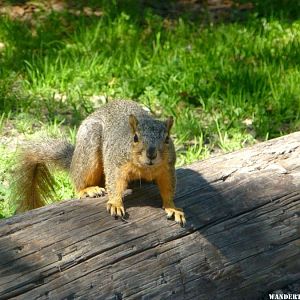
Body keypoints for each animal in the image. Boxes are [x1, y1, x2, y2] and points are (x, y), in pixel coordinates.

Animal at [14, 100, 188, 225]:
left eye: (167, 139)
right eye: (135, 138)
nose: (151, 154)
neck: (145, 167)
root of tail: (73, 162)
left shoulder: (167, 169)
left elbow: (168, 189)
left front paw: (172, 208)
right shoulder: (116, 163)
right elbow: (114, 183)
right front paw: (116, 204)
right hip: (88, 150)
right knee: (79, 181)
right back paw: (87, 189)